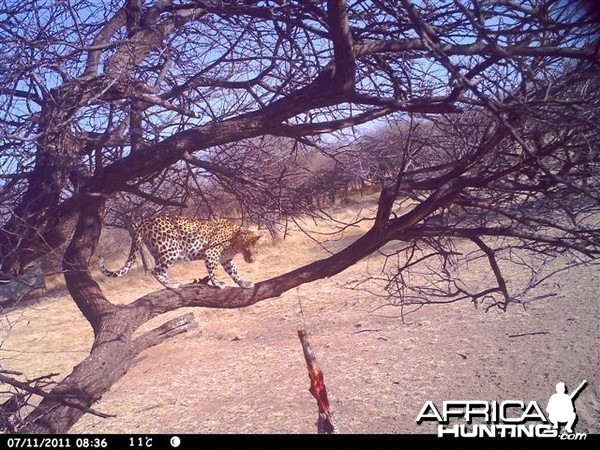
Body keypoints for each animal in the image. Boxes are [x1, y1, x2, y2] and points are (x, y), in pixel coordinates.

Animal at [97, 214, 258, 288]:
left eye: (255, 250)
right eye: (247, 248)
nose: (251, 260)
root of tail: (147, 221)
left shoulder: (226, 259)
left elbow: (234, 272)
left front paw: (243, 283)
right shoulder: (211, 254)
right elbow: (213, 272)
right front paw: (217, 284)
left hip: (159, 252)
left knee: (161, 271)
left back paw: (171, 282)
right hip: (169, 250)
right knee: (156, 271)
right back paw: (172, 285)